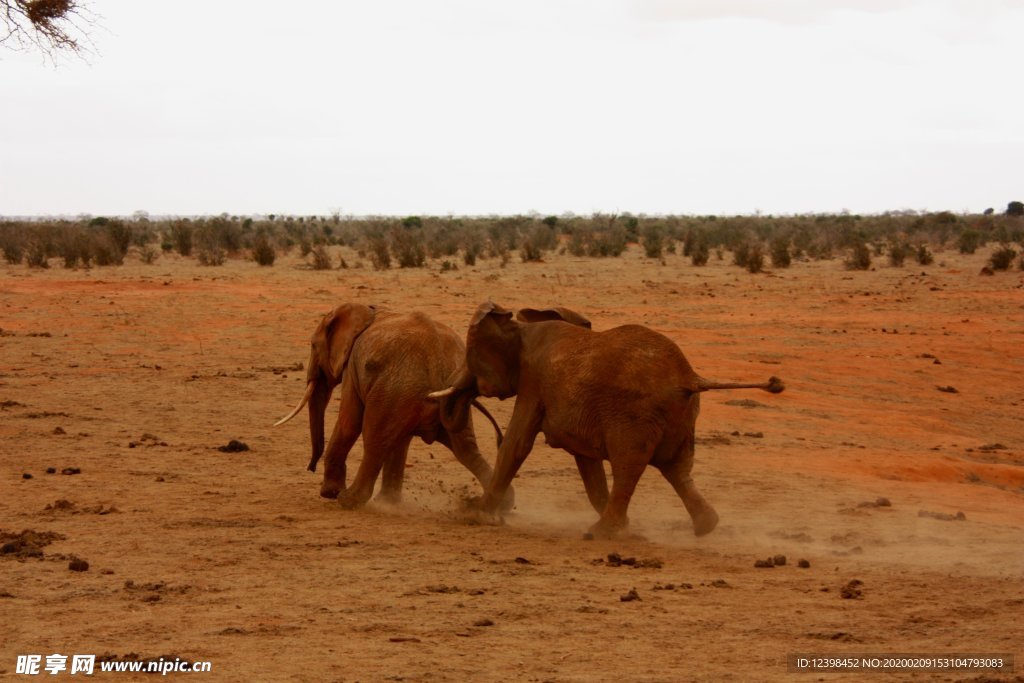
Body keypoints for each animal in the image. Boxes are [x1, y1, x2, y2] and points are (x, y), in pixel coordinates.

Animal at [276, 303, 507, 507]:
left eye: (313, 346)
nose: (310, 467)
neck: (367, 310)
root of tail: (438, 365)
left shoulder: (352, 367)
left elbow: (349, 423)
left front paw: (330, 494)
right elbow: (399, 441)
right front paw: (387, 502)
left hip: (394, 389)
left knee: (375, 441)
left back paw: (349, 500)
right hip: (437, 398)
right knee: (465, 448)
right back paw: (496, 506)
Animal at [428, 305, 786, 540]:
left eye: (471, 357)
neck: (521, 328)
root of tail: (690, 378)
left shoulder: (534, 383)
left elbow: (517, 444)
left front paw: (475, 514)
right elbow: (587, 463)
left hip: (636, 416)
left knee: (629, 466)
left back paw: (601, 532)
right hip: (680, 417)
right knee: (678, 469)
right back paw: (703, 526)